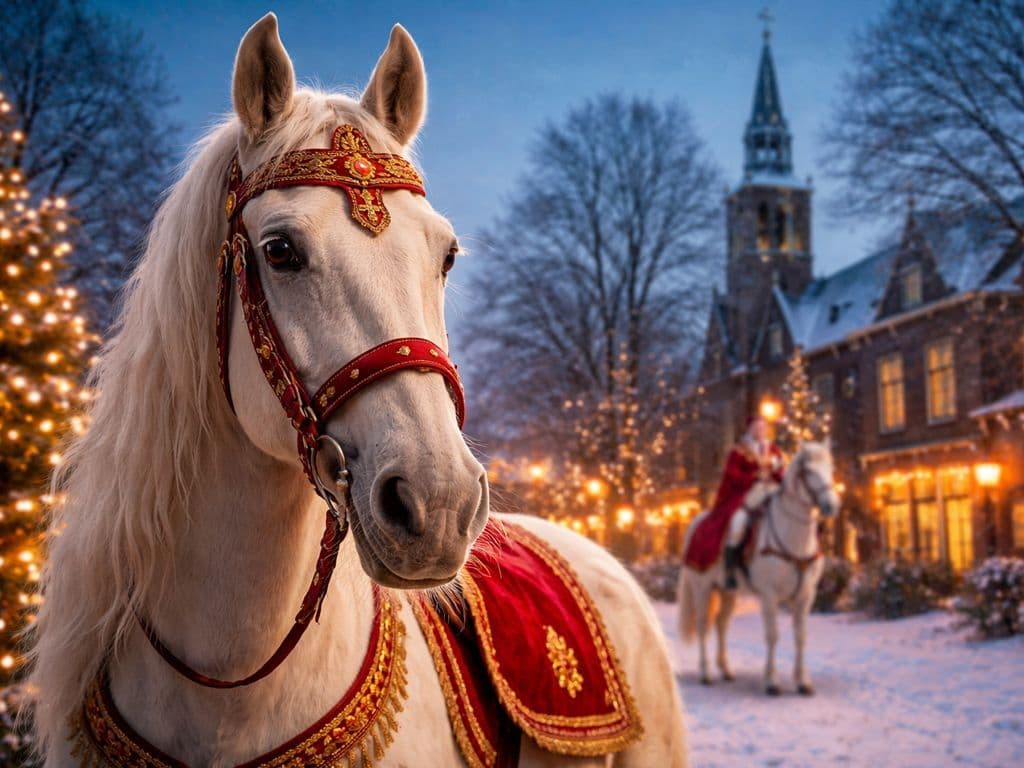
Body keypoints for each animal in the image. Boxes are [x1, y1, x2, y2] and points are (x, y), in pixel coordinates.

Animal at [677, 441, 839, 696]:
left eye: (830, 467)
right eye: (808, 471)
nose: (832, 505)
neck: (794, 535)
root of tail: (695, 522)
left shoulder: (805, 596)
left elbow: (800, 636)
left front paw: (802, 681)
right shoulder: (769, 595)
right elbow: (772, 635)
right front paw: (771, 682)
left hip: (727, 591)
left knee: (721, 625)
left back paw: (726, 669)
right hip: (702, 588)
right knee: (704, 626)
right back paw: (706, 673)